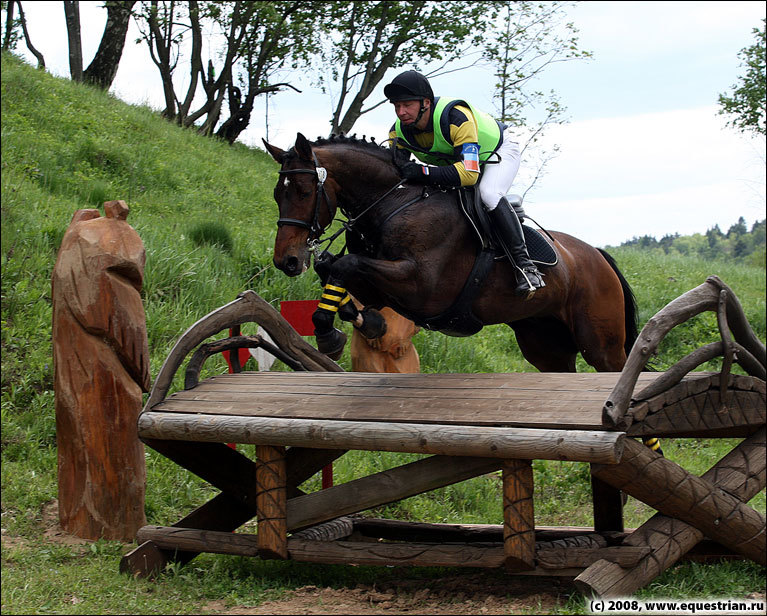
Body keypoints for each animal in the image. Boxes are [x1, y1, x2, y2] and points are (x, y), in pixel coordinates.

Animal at [260, 134, 640, 372]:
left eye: (305, 190)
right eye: (278, 193)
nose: (287, 261)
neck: (395, 203)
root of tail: (598, 256)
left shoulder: (422, 288)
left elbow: (345, 265)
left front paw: (329, 335)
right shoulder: (383, 285)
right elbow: (334, 270)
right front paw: (355, 325)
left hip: (601, 344)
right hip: (544, 345)